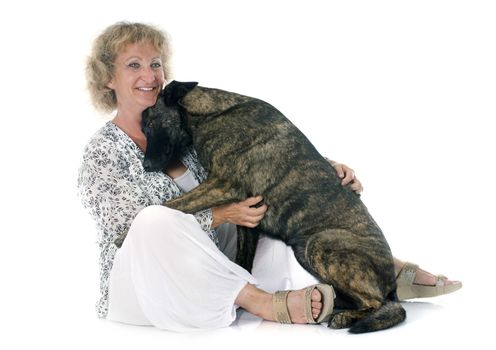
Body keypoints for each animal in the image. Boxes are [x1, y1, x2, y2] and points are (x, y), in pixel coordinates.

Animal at [141, 80, 404, 334]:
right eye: (143, 128)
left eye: (151, 123)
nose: (146, 166)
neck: (211, 114)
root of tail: (392, 283)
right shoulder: (247, 220)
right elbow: (242, 266)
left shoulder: (223, 185)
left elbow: (169, 205)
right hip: (304, 251)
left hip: (320, 243)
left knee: (380, 304)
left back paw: (344, 316)